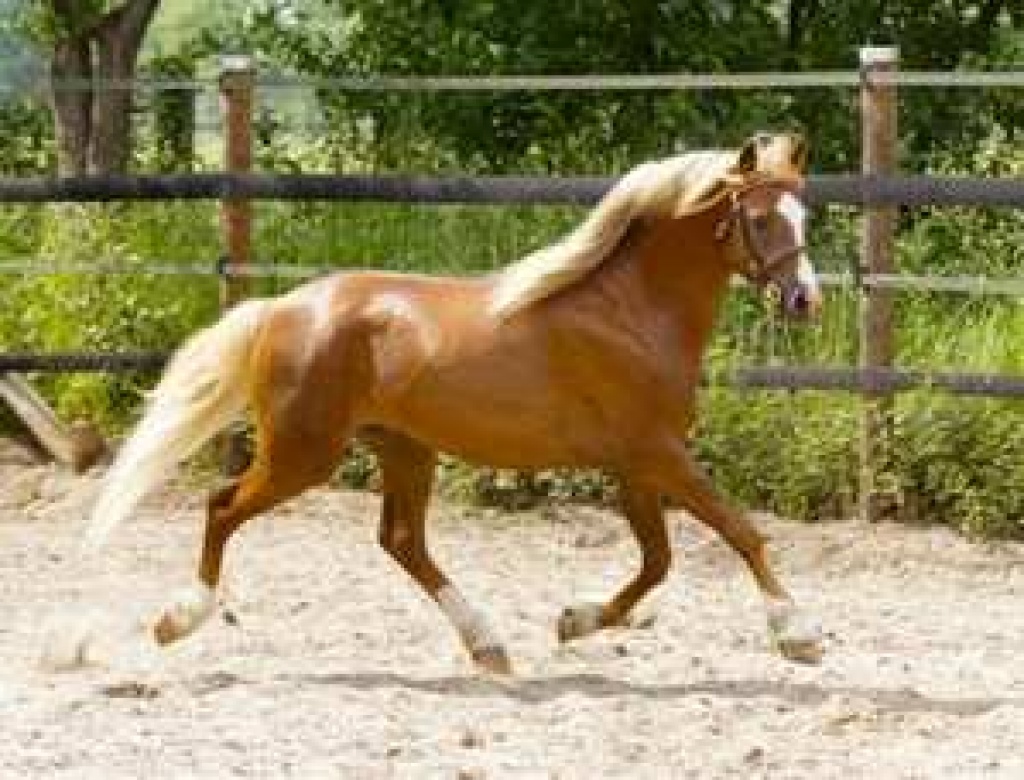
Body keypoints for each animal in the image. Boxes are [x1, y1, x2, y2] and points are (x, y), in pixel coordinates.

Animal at [67, 132, 824, 675]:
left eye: (803, 215)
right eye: (760, 219)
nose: (804, 299)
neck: (629, 312)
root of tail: (281, 308)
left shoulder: (634, 464)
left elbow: (659, 561)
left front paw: (572, 621)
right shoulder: (656, 453)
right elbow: (739, 531)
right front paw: (800, 636)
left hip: (404, 449)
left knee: (402, 542)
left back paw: (488, 645)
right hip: (303, 454)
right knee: (223, 506)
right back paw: (177, 620)